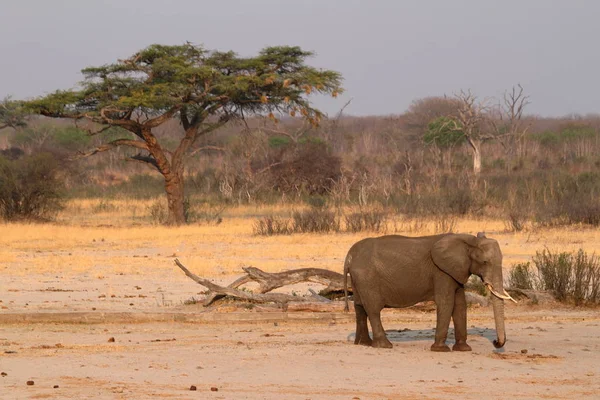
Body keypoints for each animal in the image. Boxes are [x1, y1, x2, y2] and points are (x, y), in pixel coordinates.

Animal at [342, 233, 516, 352]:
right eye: (485, 262)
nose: (495, 342)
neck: (469, 240)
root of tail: (349, 256)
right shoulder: (441, 272)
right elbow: (446, 303)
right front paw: (441, 350)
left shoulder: (455, 272)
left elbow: (460, 305)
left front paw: (463, 349)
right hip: (367, 277)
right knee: (373, 309)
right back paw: (384, 346)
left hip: (359, 279)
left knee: (359, 307)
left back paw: (364, 344)